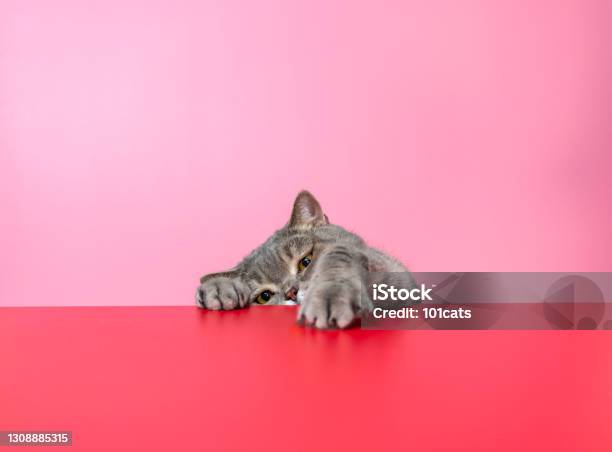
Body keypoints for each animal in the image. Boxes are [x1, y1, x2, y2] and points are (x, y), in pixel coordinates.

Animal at [196, 191, 412, 328]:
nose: (291, 292)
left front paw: (332, 295)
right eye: (264, 296)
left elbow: (339, 252)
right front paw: (219, 287)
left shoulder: (391, 271)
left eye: (305, 262)